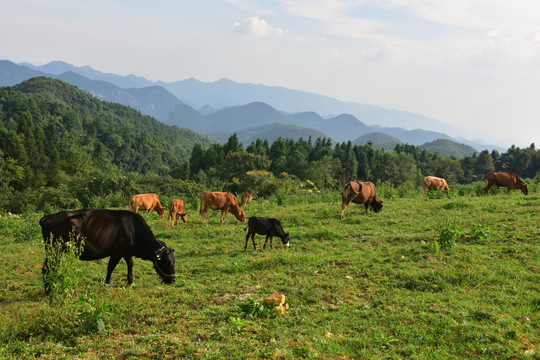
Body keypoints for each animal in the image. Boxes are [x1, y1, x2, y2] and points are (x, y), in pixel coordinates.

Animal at [40, 210, 175, 294]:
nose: (173, 280)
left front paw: (130, 281)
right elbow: (111, 267)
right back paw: (49, 290)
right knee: (47, 268)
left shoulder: (127, 252)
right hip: (54, 250)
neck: (134, 230)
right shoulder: (117, 252)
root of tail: (47, 217)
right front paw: (107, 283)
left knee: (53, 267)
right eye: (167, 262)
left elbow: (130, 264)